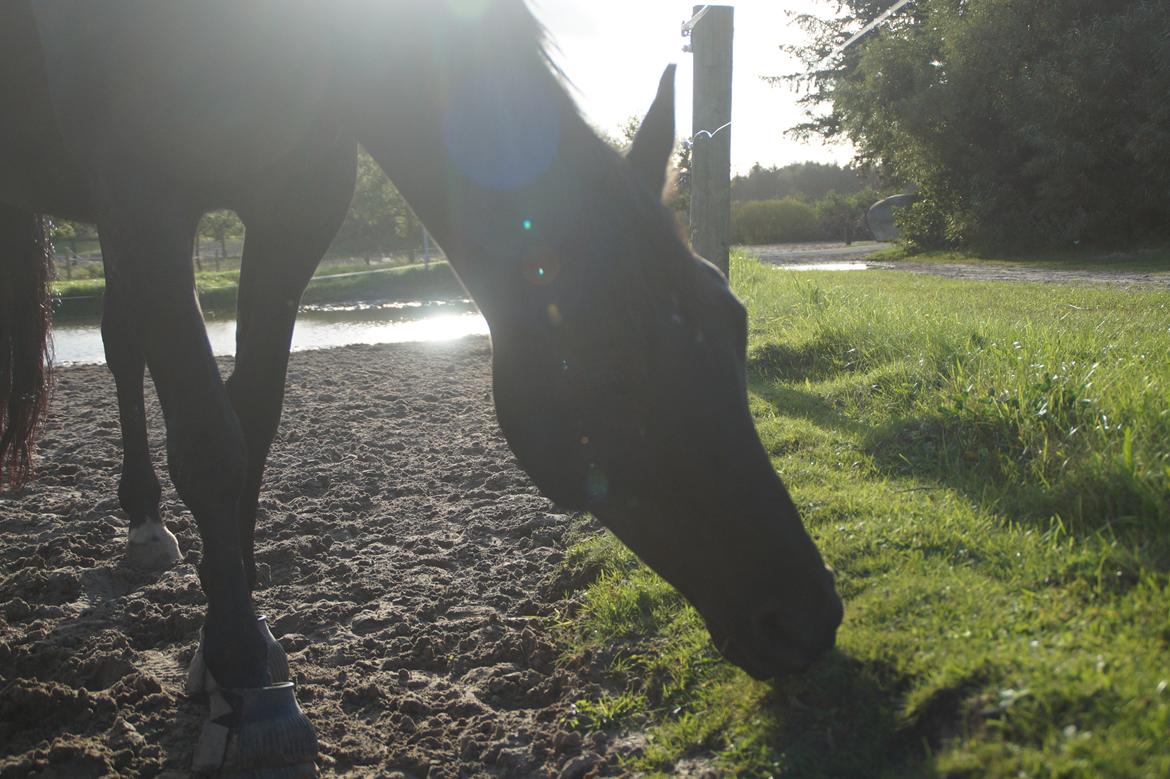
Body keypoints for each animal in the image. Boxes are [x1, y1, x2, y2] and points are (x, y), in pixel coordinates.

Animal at [0, 1, 842, 771]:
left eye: (734, 319)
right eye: (606, 364)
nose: (808, 617)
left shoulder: (295, 206)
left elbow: (256, 417)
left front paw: (235, 643)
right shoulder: (140, 194)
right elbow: (212, 441)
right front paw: (246, 677)